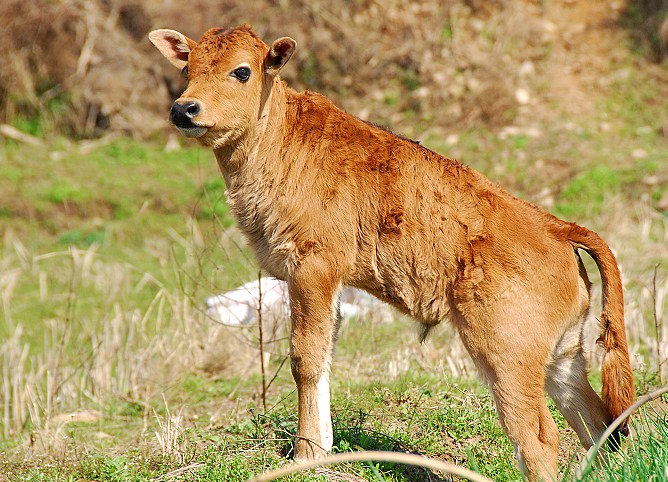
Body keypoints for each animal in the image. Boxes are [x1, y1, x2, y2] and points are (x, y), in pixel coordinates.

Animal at [149, 25, 636, 478]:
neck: (281, 139)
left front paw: (306, 455)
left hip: (507, 357)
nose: (184, 109)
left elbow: (305, 357)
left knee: (539, 436)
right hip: (562, 357)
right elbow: (325, 352)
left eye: (242, 71)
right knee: (597, 420)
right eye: (188, 69)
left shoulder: (312, 269)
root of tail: (555, 227)